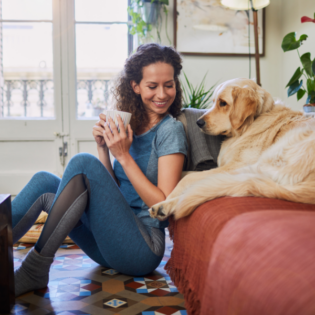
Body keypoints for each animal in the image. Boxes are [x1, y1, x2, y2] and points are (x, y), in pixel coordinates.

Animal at [149, 78, 315, 221]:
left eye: (223, 103)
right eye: (214, 102)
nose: (198, 122)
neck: (250, 123)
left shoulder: (235, 165)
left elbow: (189, 178)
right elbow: (188, 174)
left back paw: (164, 206)